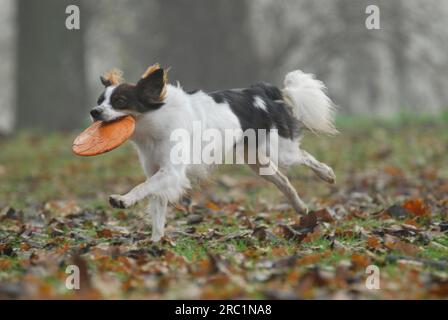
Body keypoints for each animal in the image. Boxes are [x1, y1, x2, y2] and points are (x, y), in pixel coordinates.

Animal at [91, 63, 336, 241]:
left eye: (120, 101)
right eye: (100, 100)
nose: (94, 111)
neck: (154, 122)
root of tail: (260, 91)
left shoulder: (171, 172)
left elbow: (142, 187)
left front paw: (123, 200)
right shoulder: (158, 172)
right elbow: (156, 208)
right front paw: (155, 244)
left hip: (280, 151)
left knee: (304, 156)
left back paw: (327, 174)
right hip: (257, 161)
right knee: (283, 180)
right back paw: (300, 207)